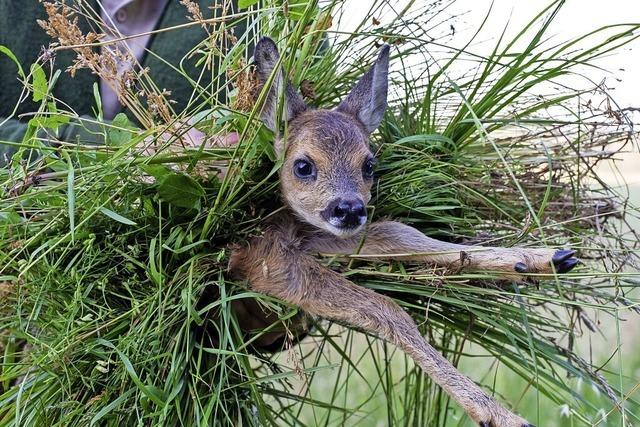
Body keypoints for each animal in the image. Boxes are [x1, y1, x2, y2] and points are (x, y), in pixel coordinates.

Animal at [230, 37, 580, 427]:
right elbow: (387, 307)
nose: (349, 209)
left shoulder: (310, 234)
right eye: (302, 166)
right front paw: (496, 413)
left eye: (369, 165)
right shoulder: (263, 257)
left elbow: (400, 233)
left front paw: (540, 258)